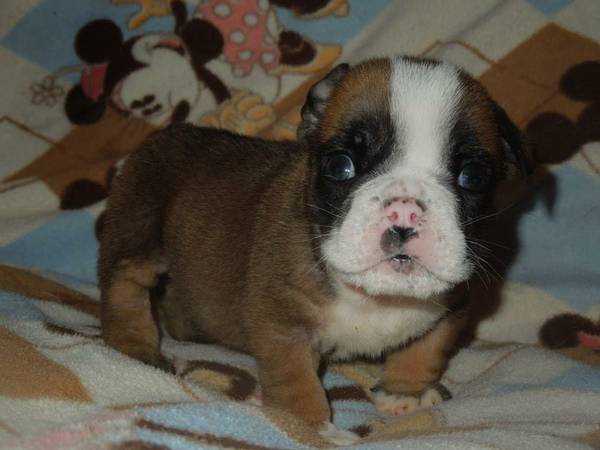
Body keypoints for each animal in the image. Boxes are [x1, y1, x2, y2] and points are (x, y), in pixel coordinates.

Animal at [98, 55, 528, 442]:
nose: (405, 209)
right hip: (140, 225)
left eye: (473, 177)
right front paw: (314, 429)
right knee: (125, 285)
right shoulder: (284, 324)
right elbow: (297, 382)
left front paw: (404, 394)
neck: (374, 296)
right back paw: (138, 347)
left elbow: (424, 352)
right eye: (341, 166)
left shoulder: (452, 308)